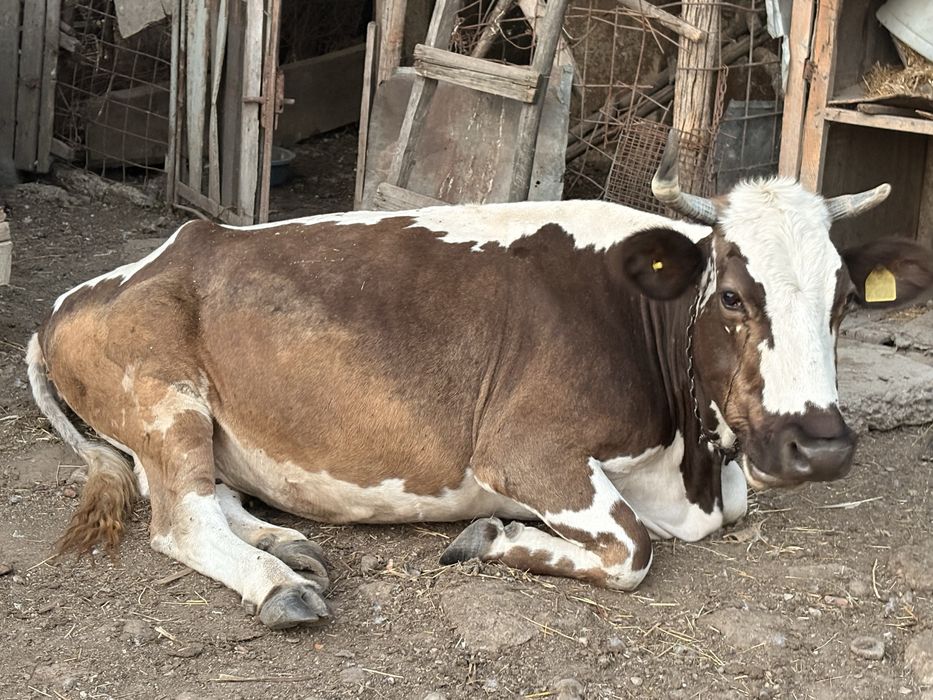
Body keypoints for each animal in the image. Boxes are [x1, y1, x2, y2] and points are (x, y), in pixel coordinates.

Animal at [27, 135, 933, 629]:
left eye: (846, 300)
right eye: (736, 296)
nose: (819, 447)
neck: (689, 461)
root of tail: (87, 289)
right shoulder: (525, 450)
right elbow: (632, 549)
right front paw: (491, 537)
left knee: (210, 497)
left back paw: (286, 544)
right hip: (162, 396)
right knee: (180, 518)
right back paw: (280, 585)